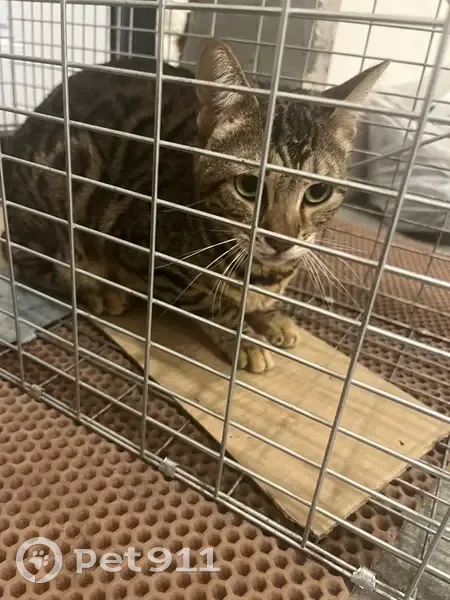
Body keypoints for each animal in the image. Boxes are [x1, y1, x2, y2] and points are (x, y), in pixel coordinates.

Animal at [0, 39, 388, 373]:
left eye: (317, 192)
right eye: (248, 187)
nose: (281, 241)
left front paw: (272, 318)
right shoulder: (144, 252)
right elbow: (211, 304)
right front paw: (244, 339)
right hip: (59, 205)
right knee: (36, 267)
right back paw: (98, 292)